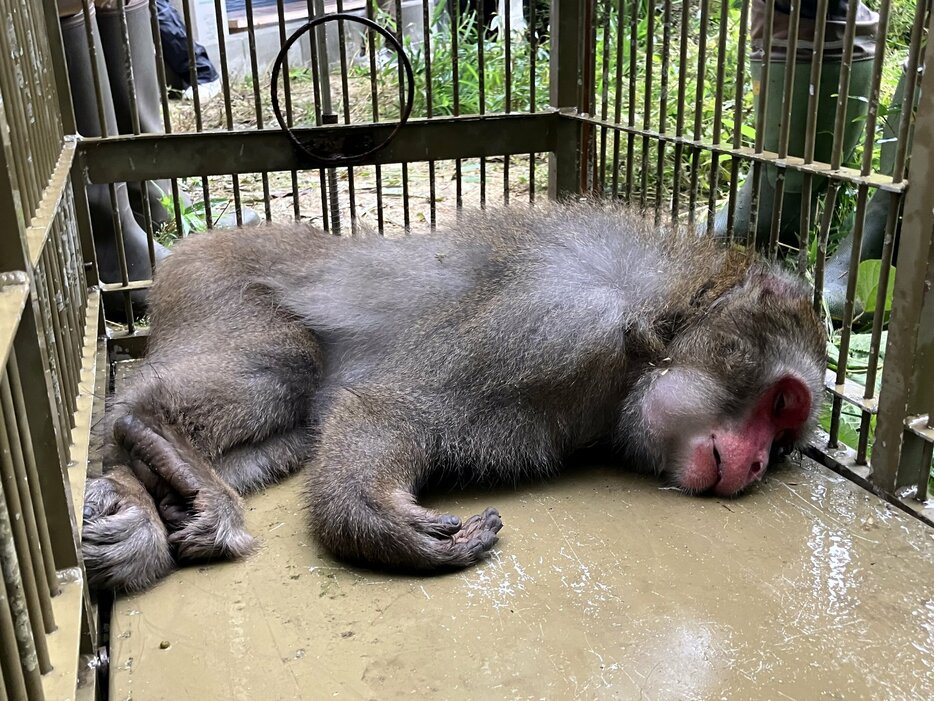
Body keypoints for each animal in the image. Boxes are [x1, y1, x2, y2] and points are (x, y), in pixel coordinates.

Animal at [80, 200, 828, 588]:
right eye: (782, 403)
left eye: (784, 440)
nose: (759, 461)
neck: (651, 331)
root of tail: (182, 253)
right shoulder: (553, 321)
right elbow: (394, 409)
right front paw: (377, 521)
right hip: (214, 287)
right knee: (284, 366)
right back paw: (155, 434)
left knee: (292, 425)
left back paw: (145, 501)